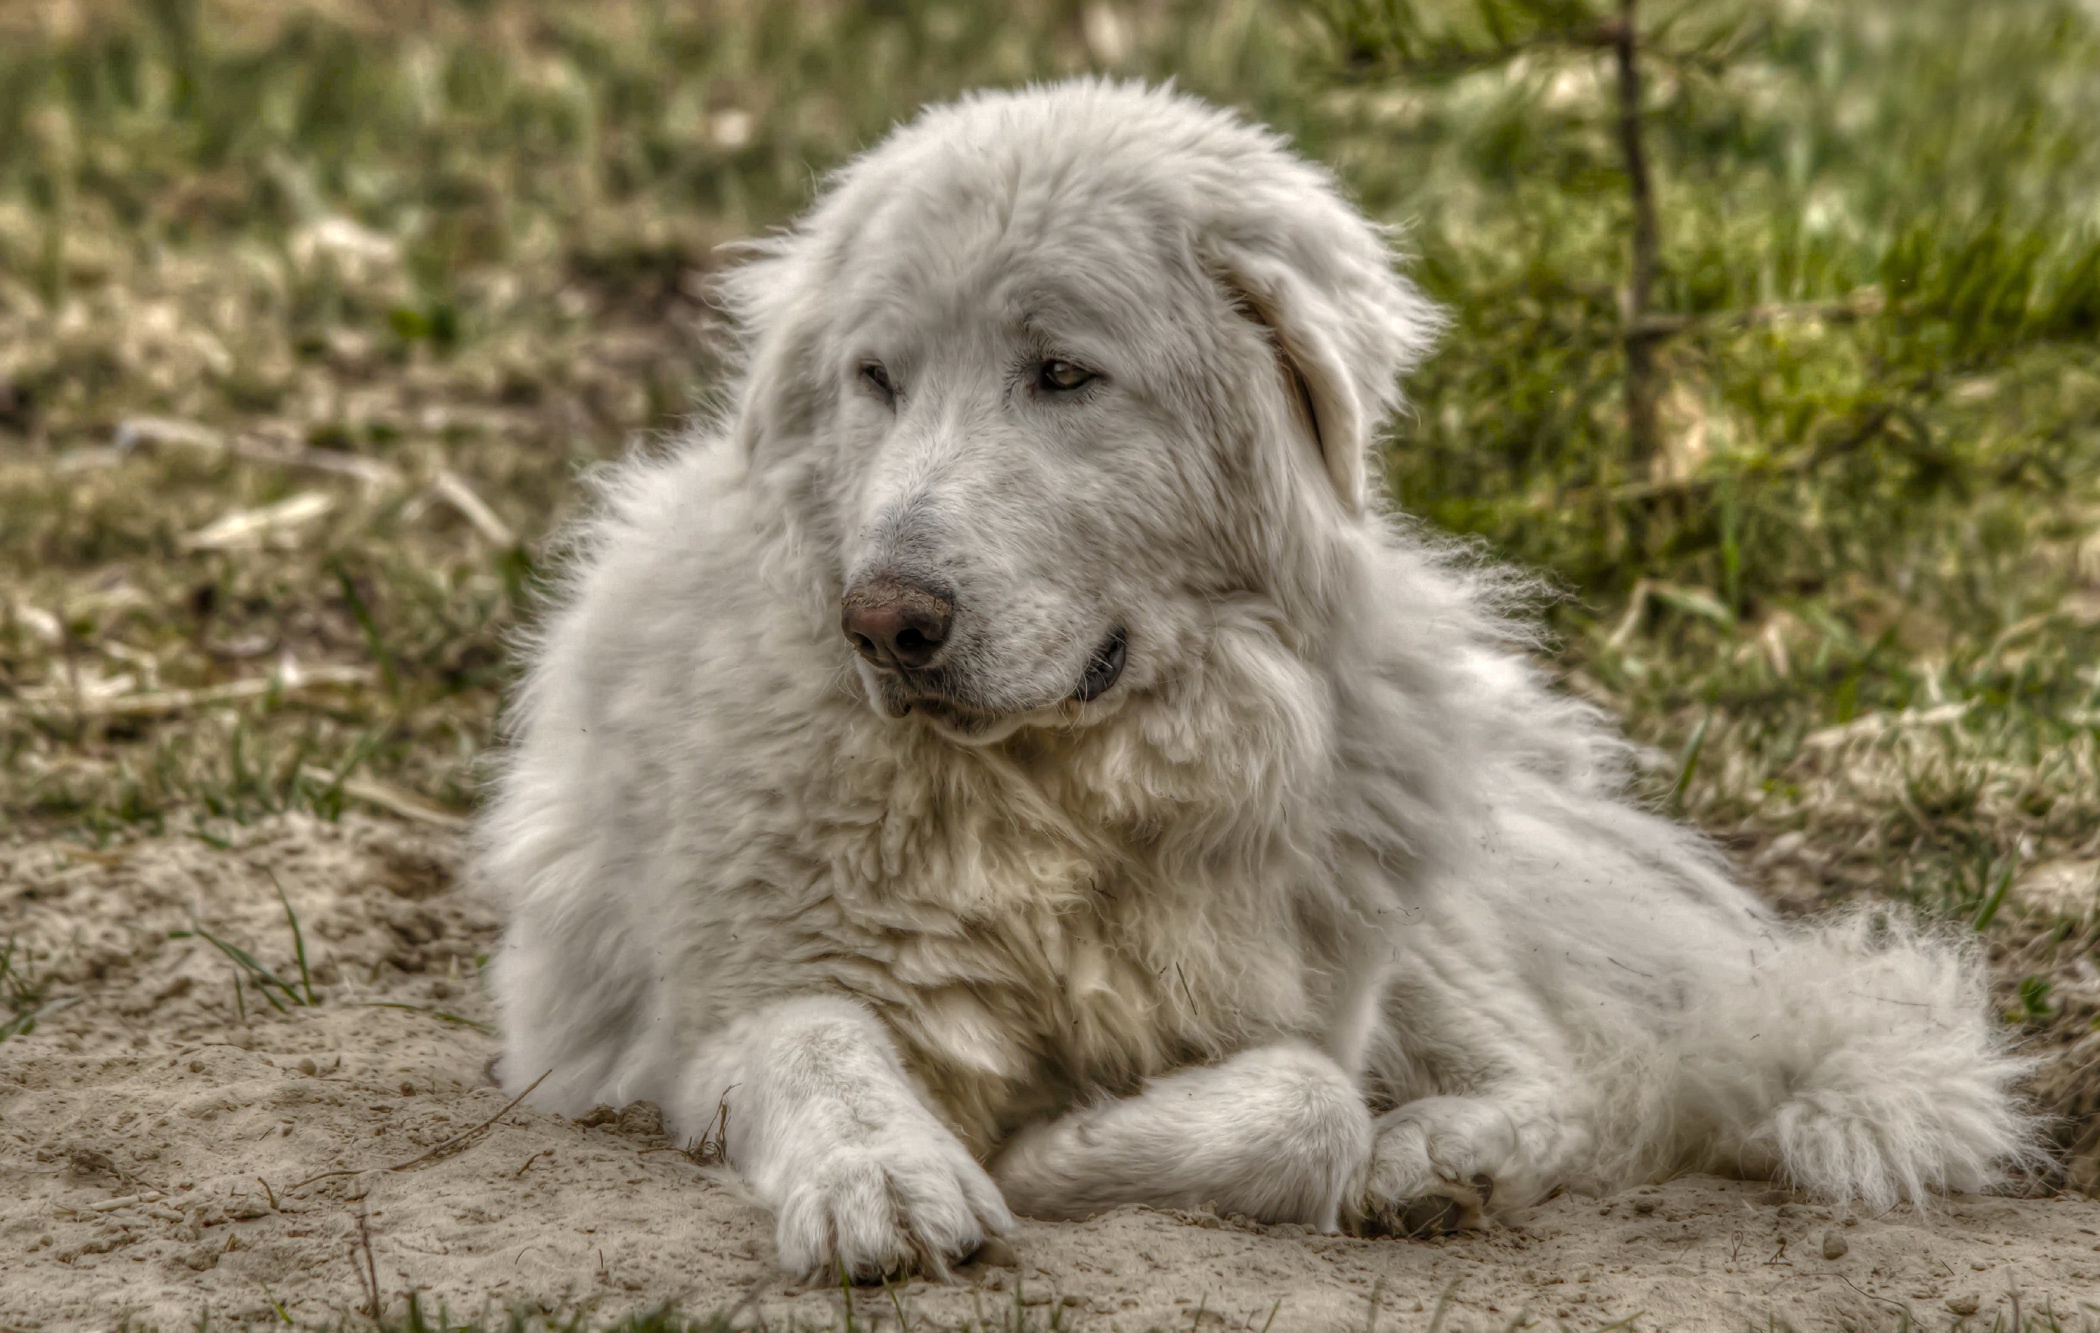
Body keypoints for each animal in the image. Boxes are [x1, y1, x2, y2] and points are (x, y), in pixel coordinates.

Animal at [487, 75, 2032, 1284]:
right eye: (877, 378)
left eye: (1063, 375)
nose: (883, 623)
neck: (1063, 805)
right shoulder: (711, 1014)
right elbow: (820, 1051)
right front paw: (885, 1181)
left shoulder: (1305, 1004)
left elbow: (1304, 1101)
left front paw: (1056, 1153)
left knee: (1580, 1079)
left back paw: (1442, 1157)